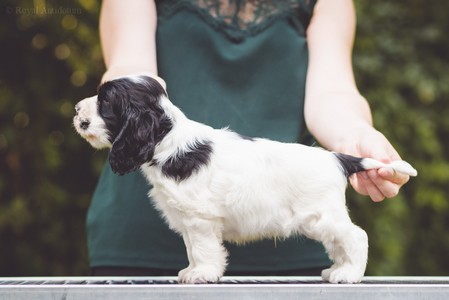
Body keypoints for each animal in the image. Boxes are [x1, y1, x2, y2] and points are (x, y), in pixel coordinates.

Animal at [72, 74, 416, 284]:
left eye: (105, 101)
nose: (75, 108)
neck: (168, 140)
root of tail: (338, 158)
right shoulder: (188, 220)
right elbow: (192, 249)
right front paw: (192, 270)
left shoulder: (200, 219)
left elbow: (203, 249)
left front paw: (203, 274)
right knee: (340, 244)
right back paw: (339, 270)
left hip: (323, 216)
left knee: (356, 236)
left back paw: (350, 274)